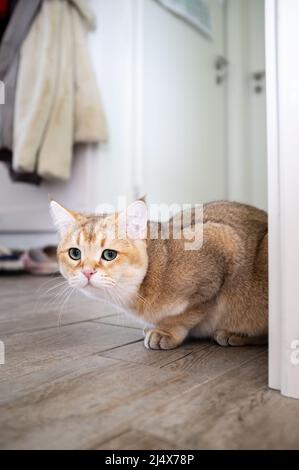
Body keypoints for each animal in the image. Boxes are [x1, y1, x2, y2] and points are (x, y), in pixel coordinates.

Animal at [50, 198, 268, 348]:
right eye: (75, 253)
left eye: (109, 254)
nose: (87, 272)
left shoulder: (222, 243)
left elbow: (188, 313)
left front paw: (166, 331)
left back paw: (237, 335)